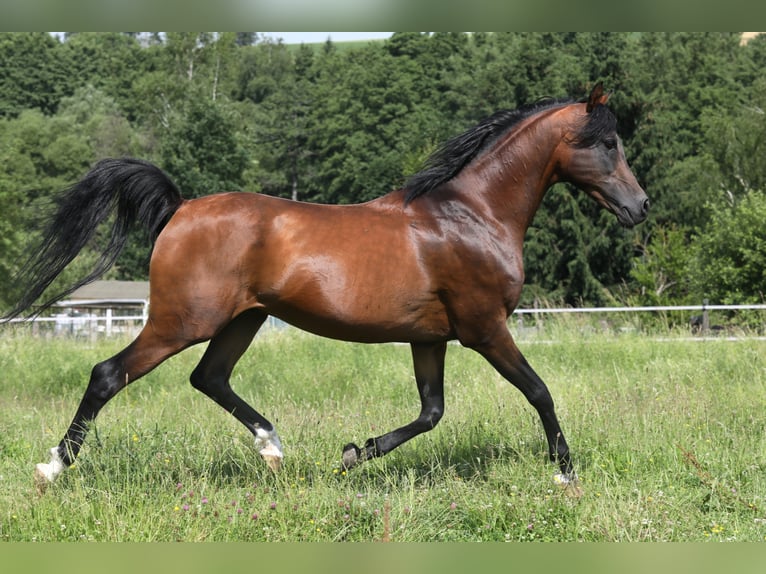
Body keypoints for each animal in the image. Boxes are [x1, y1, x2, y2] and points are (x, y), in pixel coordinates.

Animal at [4, 83, 648, 498]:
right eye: (607, 144)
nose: (640, 208)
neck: (470, 214)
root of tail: (181, 208)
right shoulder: (485, 329)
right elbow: (539, 392)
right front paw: (566, 474)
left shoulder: (430, 338)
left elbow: (430, 412)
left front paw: (351, 456)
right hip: (182, 322)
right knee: (108, 375)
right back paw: (51, 469)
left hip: (242, 320)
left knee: (210, 378)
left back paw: (273, 448)